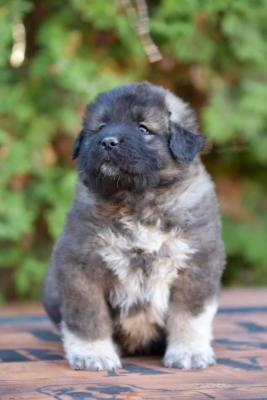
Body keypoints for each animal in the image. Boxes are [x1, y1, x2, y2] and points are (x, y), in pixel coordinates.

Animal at [42, 82, 226, 372]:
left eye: (143, 129)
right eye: (101, 126)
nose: (108, 141)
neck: (137, 201)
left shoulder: (195, 265)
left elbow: (189, 316)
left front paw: (189, 352)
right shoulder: (81, 266)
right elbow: (88, 317)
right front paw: (93, 354)